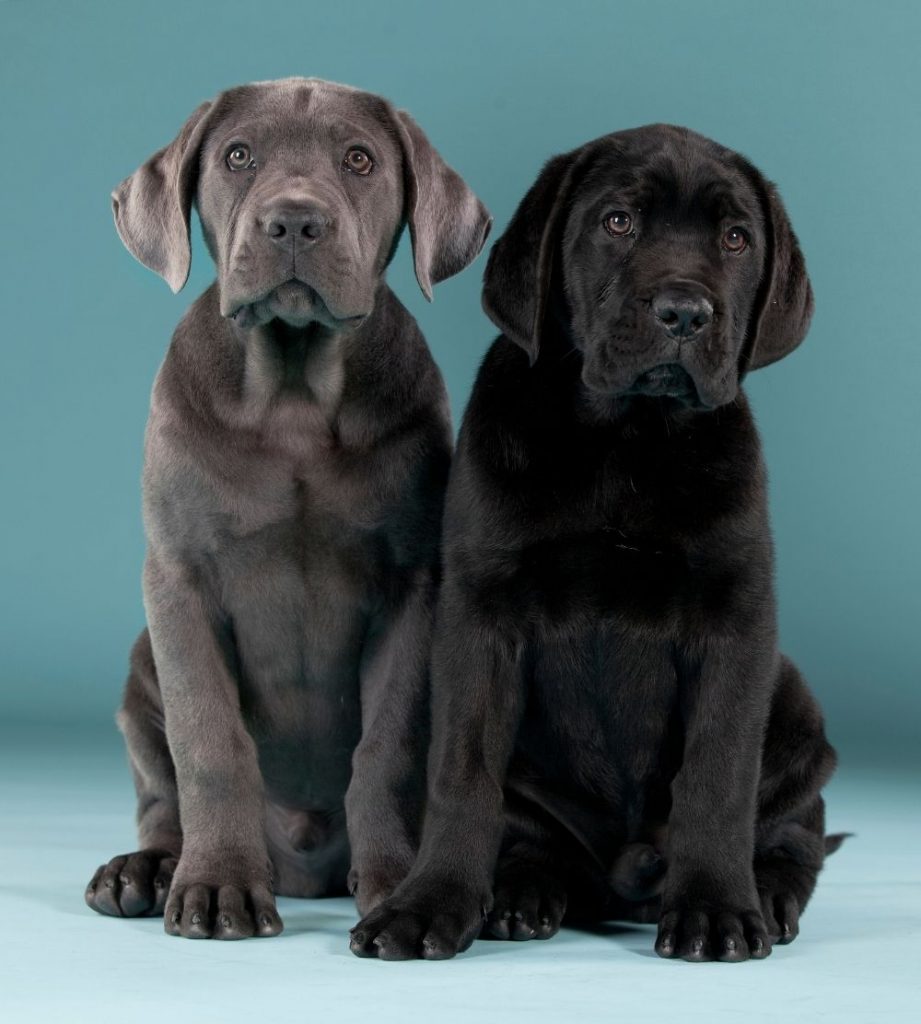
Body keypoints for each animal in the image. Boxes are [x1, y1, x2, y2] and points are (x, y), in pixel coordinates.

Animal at [83, 77, 493, 942]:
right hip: (139, 672)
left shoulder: (413, 587)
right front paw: (217, 886)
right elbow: (208, 739)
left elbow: (387, 746)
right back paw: (147, 870)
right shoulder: (178, 581)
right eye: (238, 156)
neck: (295, 395)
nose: (295, 221)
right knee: (160, 796)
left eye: (360, 160)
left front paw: (397, 883)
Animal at [352, 125, 844, 958]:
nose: (684, 312)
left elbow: (717, 775)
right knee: (530, 838)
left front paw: (714, 907)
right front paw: (429, 902)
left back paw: (768, 895)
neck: (625, 440)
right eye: (617, 222)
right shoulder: (479, 617)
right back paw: (520, 894)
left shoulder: (734, 619)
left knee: (793, 835)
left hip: (796, 712)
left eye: (736, 239)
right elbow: (461, 773)